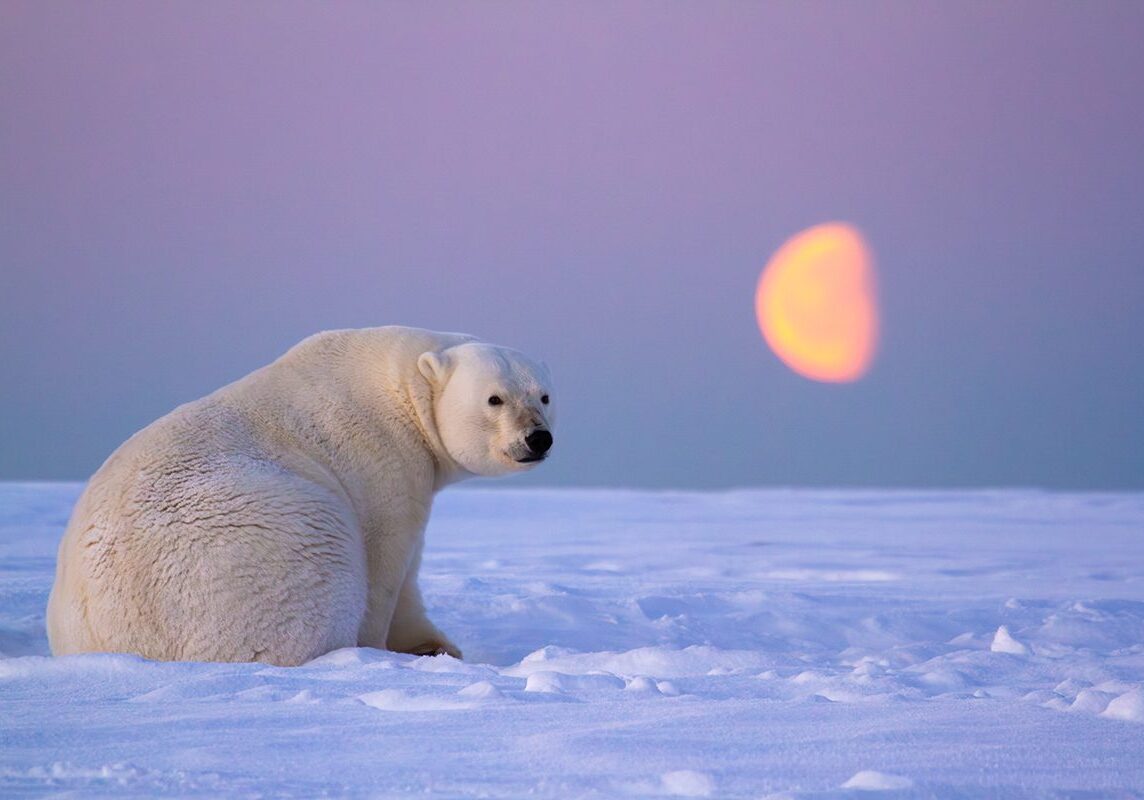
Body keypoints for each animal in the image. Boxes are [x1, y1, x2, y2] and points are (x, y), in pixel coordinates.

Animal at [46, 326, 555, 666]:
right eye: (494, 399)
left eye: (544, 395)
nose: (538, 438)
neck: (401, 381)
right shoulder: (383, 458)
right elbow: (386, 562)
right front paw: (386, 650)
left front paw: (433, 646)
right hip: (273, 540)